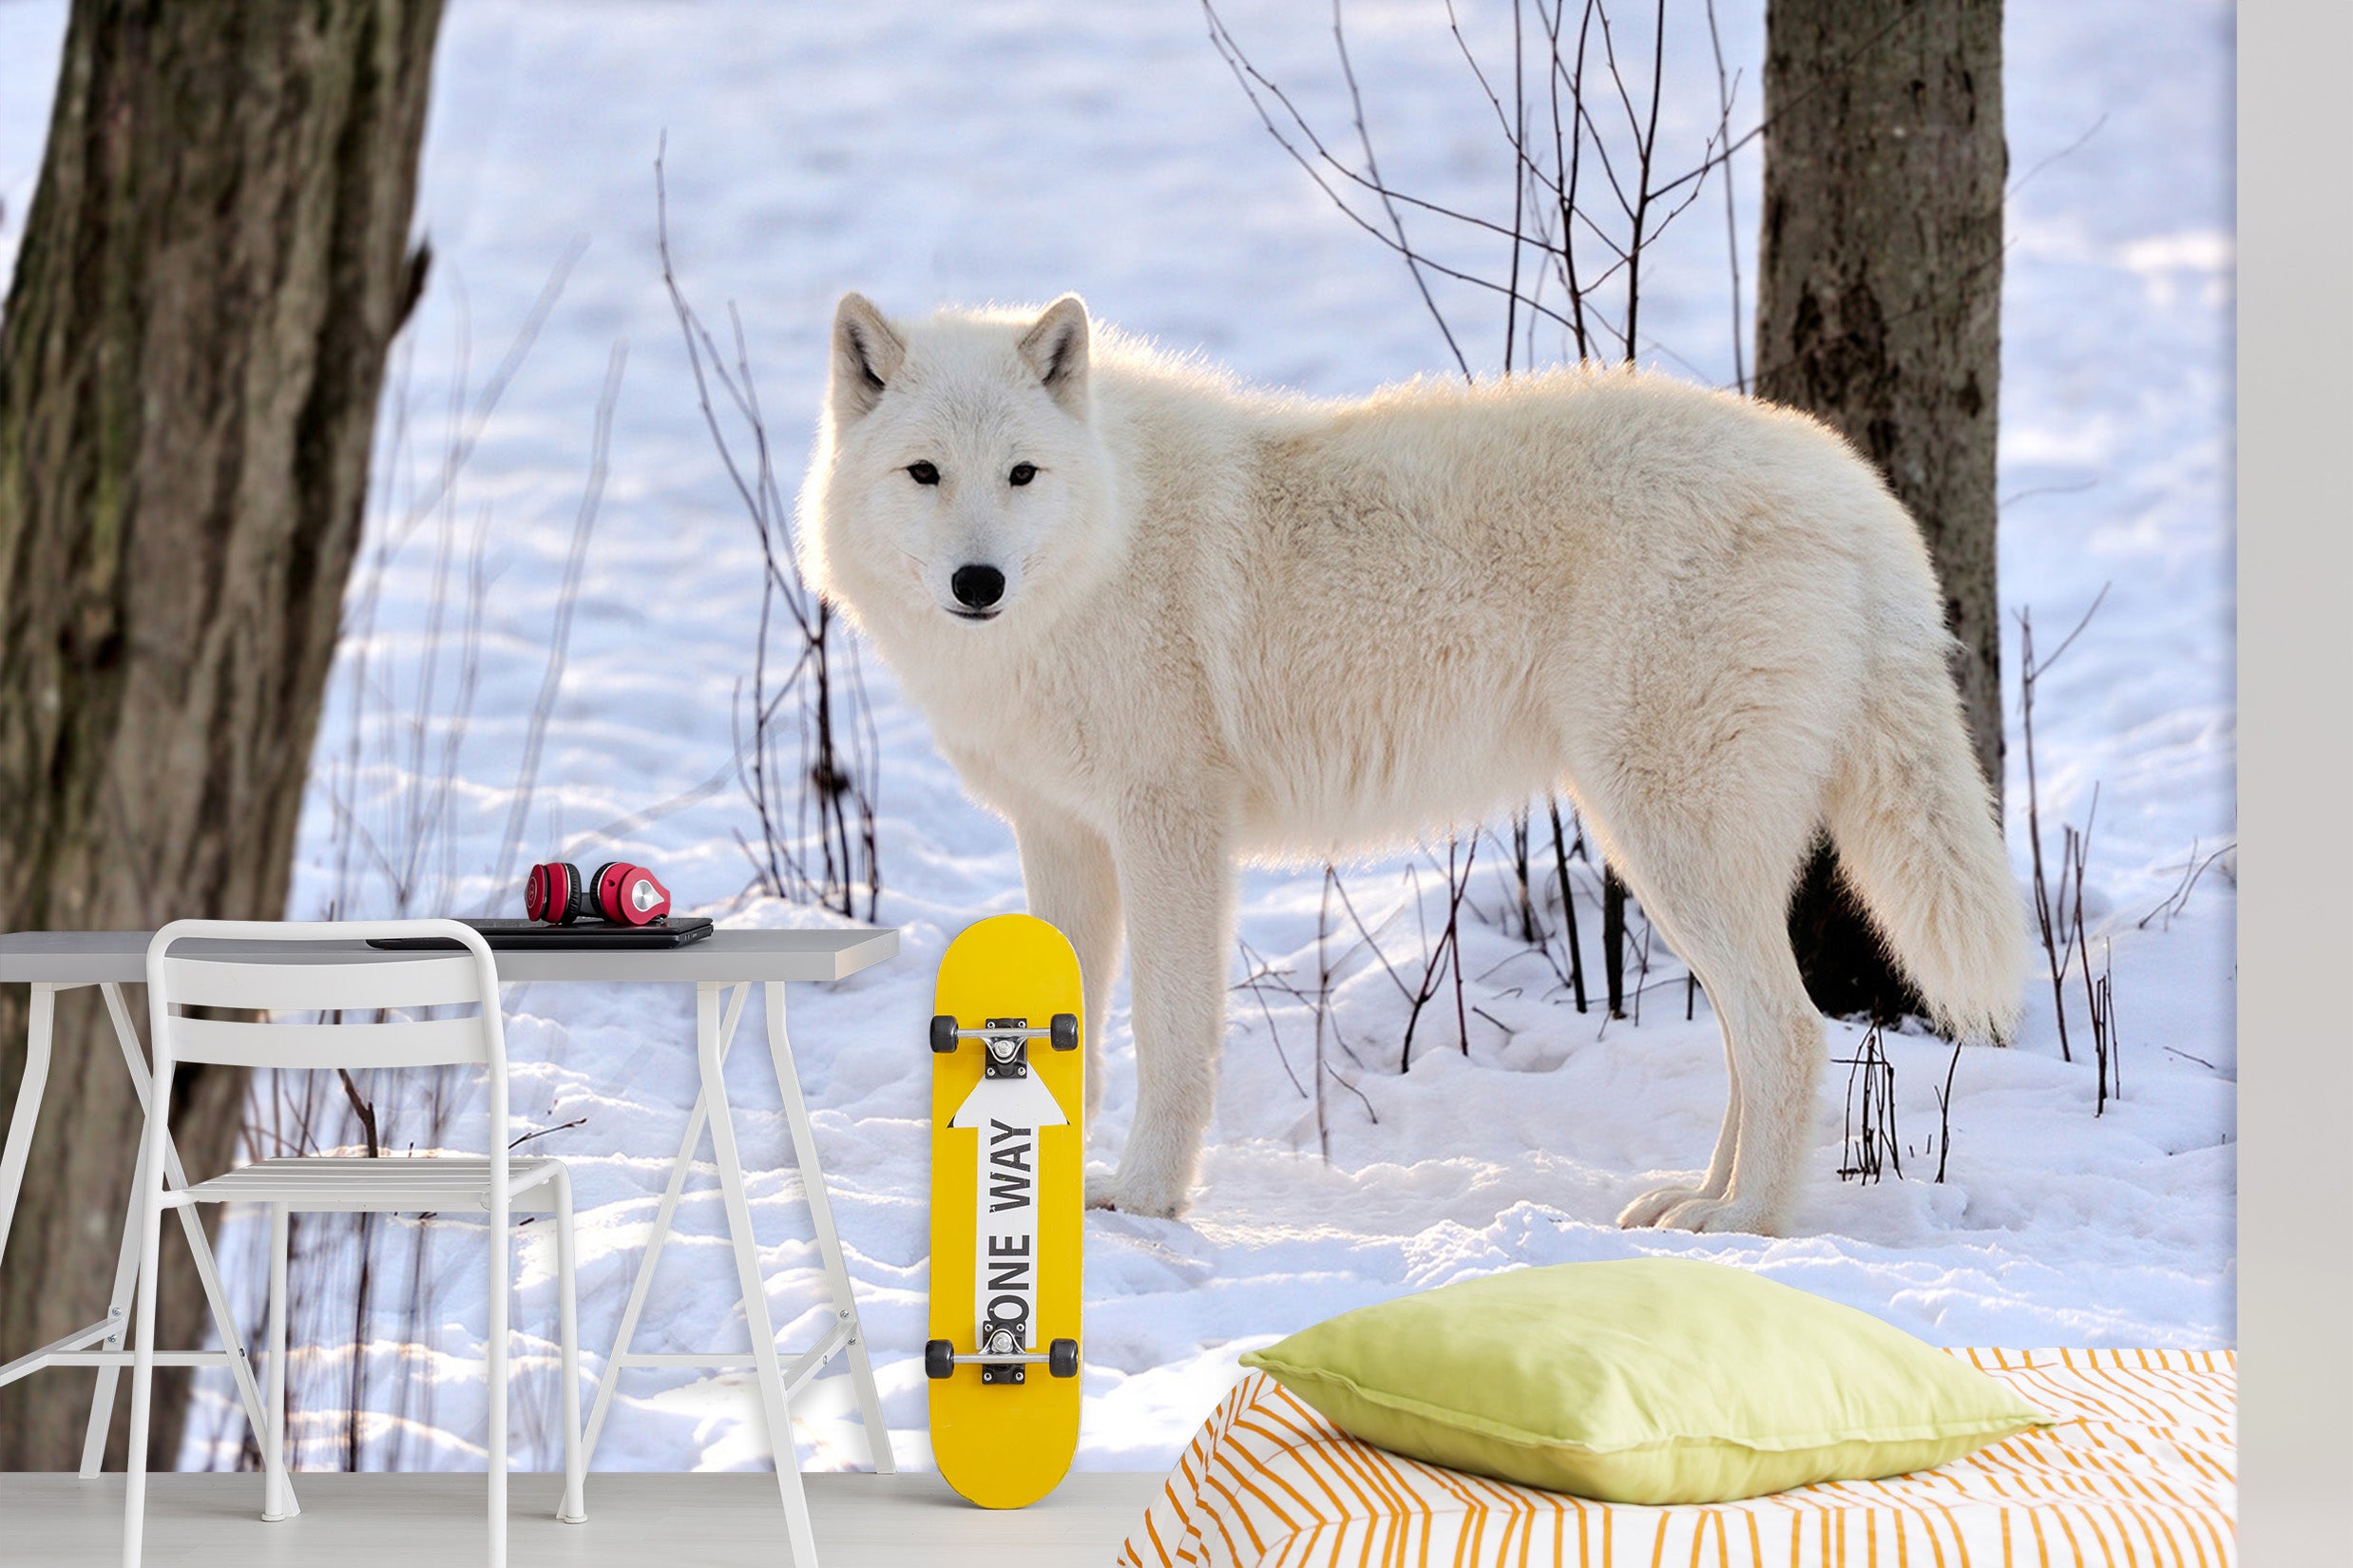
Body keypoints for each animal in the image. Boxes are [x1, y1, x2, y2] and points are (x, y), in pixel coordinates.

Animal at [798, 292, 2023, 1234]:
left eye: (1020, 474)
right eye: (923, 474)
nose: (978, 583)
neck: (1108, 540)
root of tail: (1854, 494)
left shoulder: (1170, 827)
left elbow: (1172, 1037)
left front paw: (1142, 1202)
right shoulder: (1059, 838)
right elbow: (1073, 1038)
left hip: (1666, 842)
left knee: (1792, 1032)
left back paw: (1743, 1226)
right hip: (1674, 854)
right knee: (1755, 1039)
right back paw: (1694, 1200)